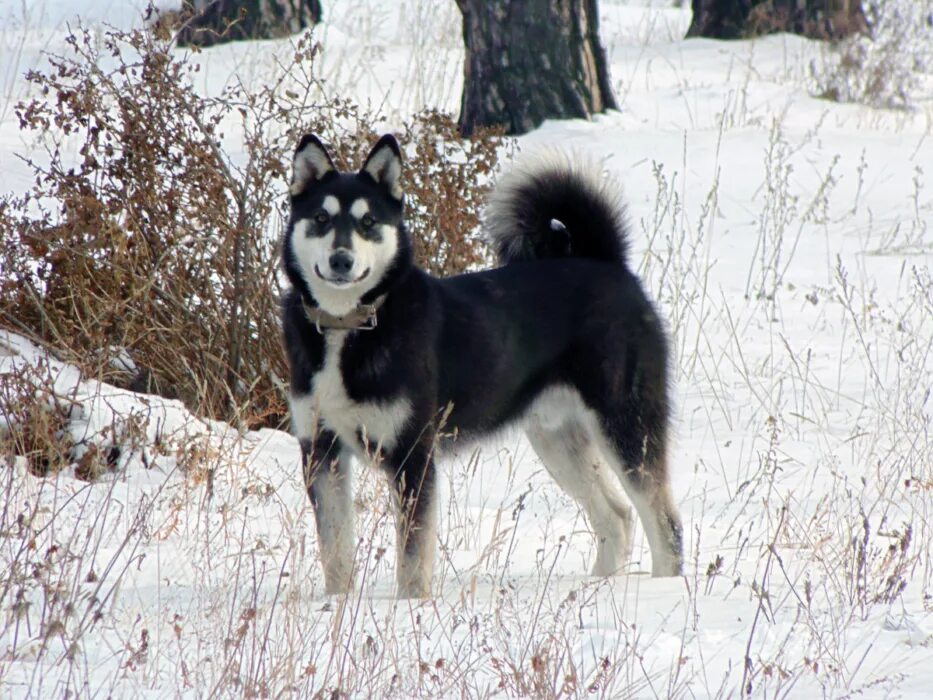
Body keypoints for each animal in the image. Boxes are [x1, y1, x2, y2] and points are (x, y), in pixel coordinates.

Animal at [280, 134, 680, 600]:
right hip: (558, 439)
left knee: (665, 524)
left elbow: (412, 558)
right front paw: (336, 604)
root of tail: (607, 263)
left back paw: (666, 588)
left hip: (626, 427)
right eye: (321, 218)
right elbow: (336, 553)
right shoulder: (321, 453)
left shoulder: (413, 455)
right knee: (615, 516)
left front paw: (409, 607)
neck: (351, 327)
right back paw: (597, 586)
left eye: (368, 221)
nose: (341, 260)